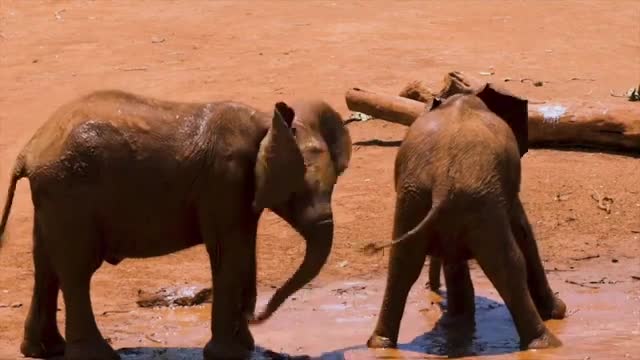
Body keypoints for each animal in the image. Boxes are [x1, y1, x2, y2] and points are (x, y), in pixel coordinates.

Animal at [0, 90, 350, 360]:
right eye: (295, 194)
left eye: (334, 185)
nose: (257, 315)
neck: (266, 121)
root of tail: (28, 151)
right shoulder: (224, 180)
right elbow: (229, 254)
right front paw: (231, 354)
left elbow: (243, 248)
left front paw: (244, 347)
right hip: (69, 193)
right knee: (77, 270)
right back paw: (97, 356)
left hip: (54, 198)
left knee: (46, 265)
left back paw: (44, 351)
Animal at [368, 85, 568, 352]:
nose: (433, 289)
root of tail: (442, 181)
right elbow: (523, 231)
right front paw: (558, 311)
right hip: (478, 200)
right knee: (507, 262)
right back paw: (546, 344)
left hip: (416, 197)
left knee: (402, 263)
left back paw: (381, 344)